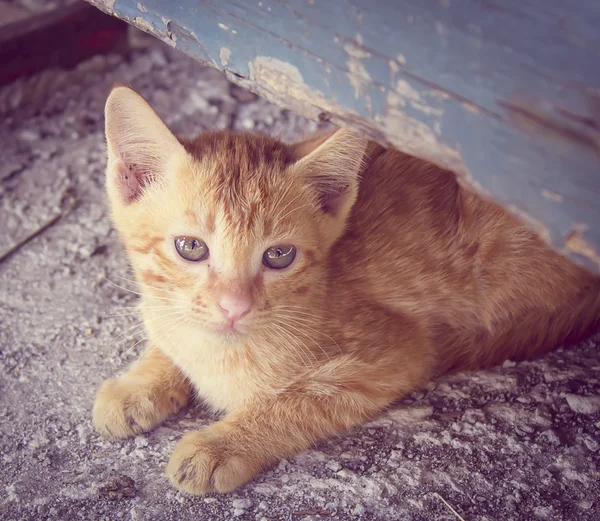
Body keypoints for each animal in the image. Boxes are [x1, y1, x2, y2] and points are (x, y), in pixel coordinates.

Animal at [94, 84, 600, 492]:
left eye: (279, 256)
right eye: (191, 247)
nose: (234, 307)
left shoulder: (399, 354)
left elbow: (298, 400)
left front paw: (221, 445)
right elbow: (166, 334)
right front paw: (138, 384)